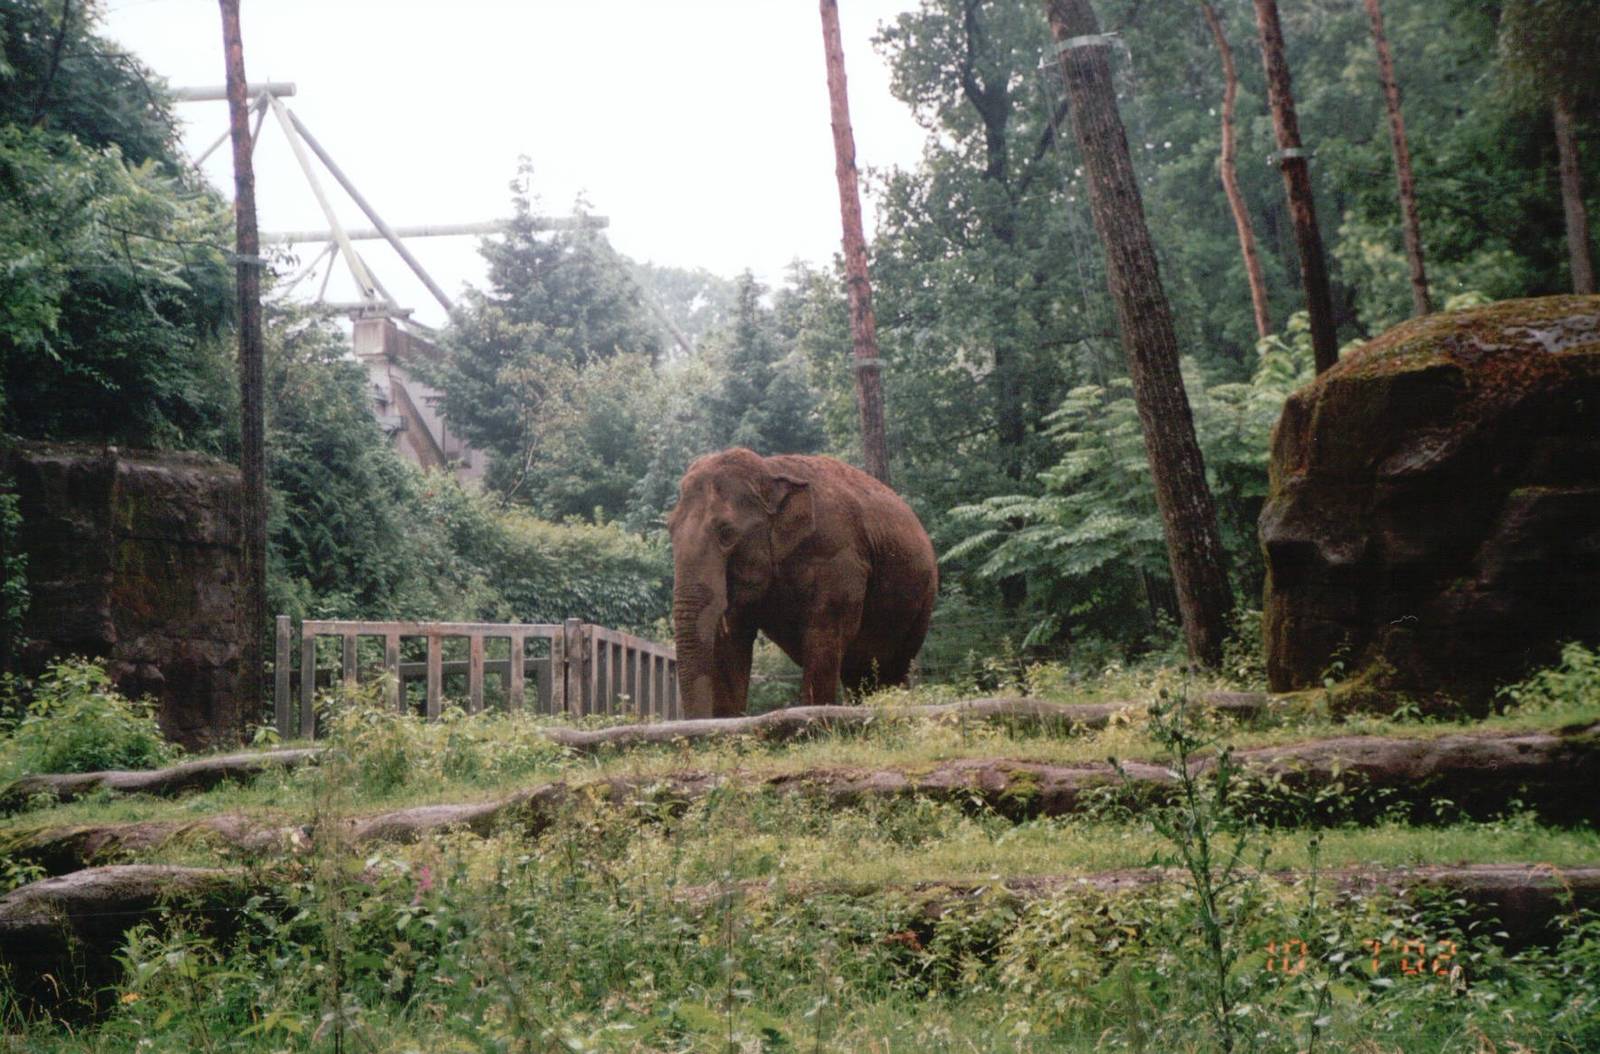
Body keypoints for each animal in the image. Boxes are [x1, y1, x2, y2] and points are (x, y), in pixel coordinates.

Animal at [668, 448, 938, 718]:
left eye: (726, 532)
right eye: (670, 529)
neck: (769, 473)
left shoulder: (838, 560)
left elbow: (824, 637)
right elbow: (731, 643)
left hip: (923, 602)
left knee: (894, 668)